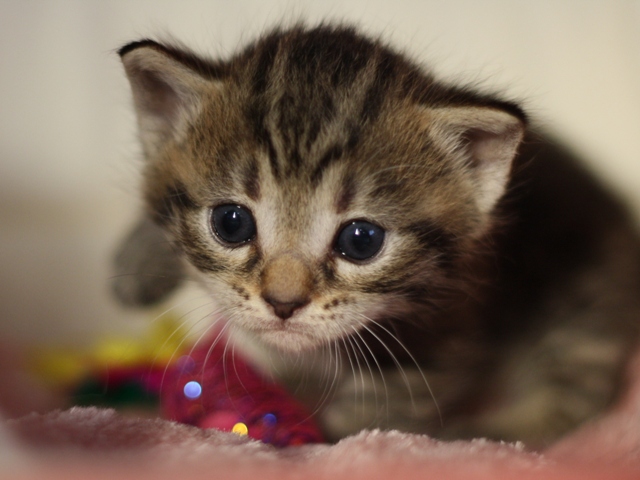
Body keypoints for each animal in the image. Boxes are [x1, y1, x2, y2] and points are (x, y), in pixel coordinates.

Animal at [112, 25, 640, 446]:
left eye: (361, 240)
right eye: (231, 223)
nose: (283, 302)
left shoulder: (448, 335)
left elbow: (388, 407)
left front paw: (336, 435)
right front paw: (135, 266)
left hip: (584, 309)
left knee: (568, 400)